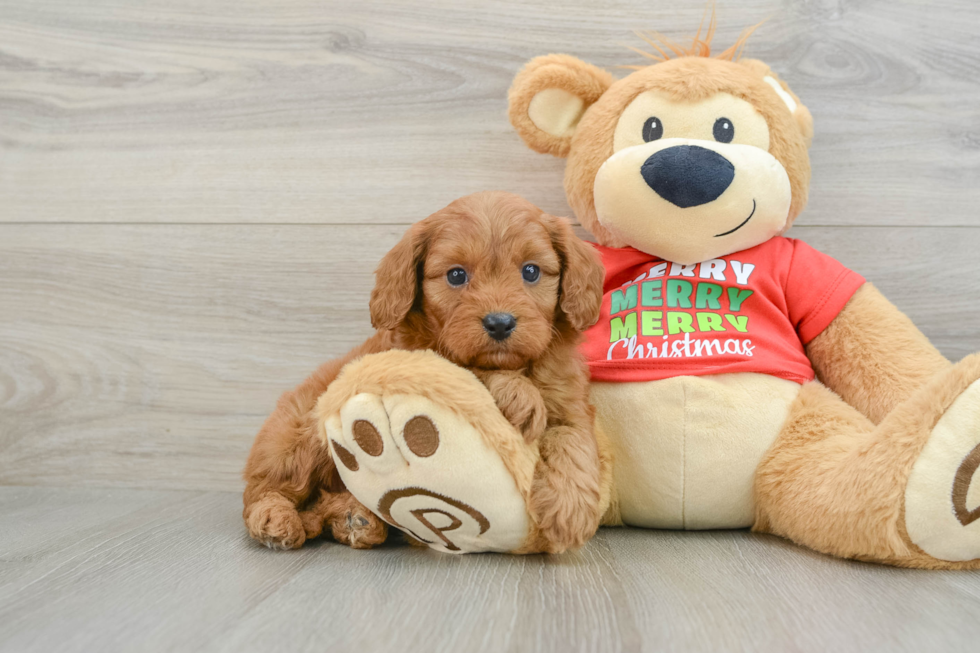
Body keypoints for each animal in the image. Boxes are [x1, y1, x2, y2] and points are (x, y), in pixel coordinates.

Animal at [241, 191, 604, 552]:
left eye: (531, 271)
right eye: (456, 275)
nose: (500, 323)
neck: (513, 364)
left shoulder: (569, 402)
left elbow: (573, 441)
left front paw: (569, 511)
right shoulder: (416, 361)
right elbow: (463, 371)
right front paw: (518, 393)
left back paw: (355, 518)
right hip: (300, 434)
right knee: (263, 490)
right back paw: (276, 519)